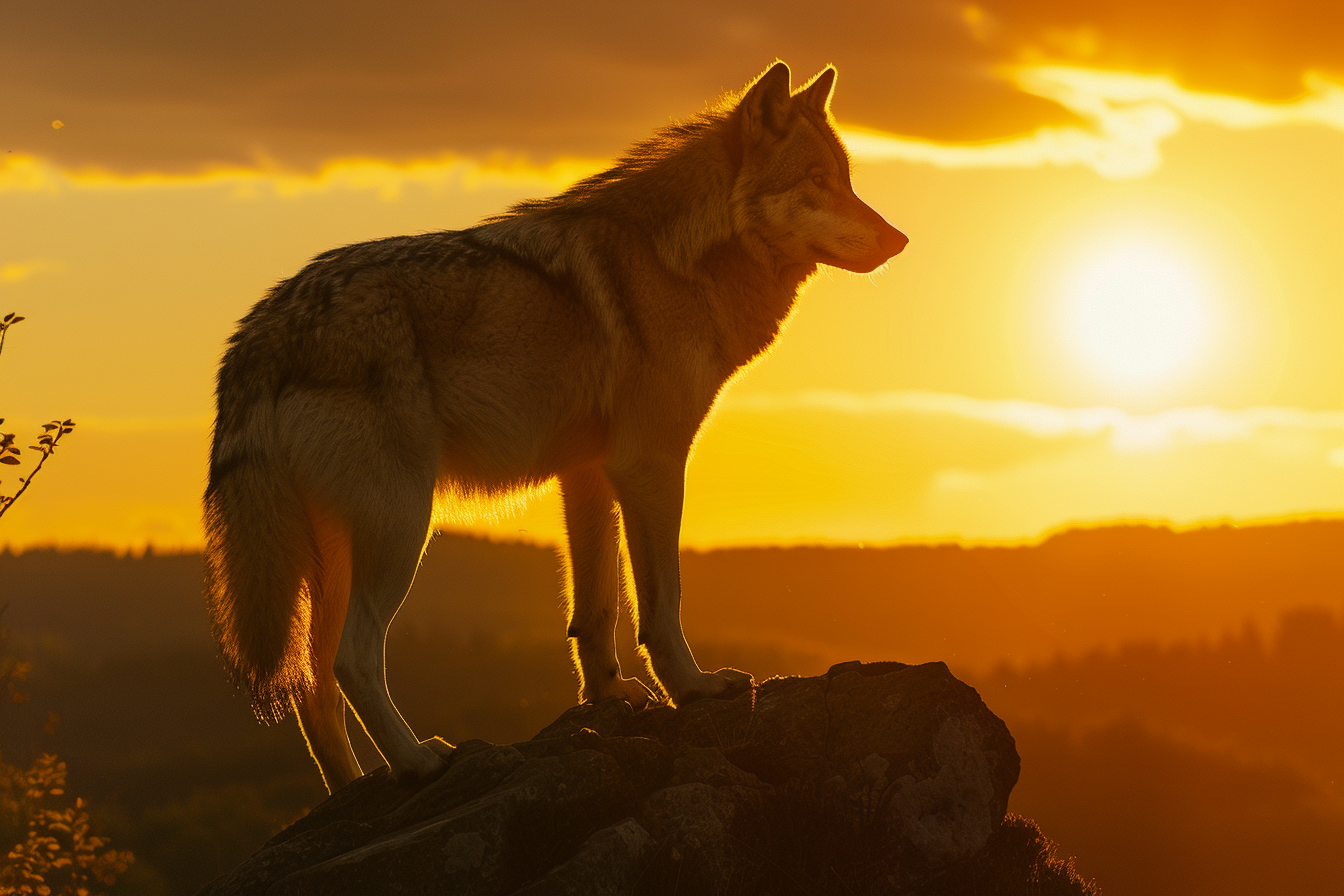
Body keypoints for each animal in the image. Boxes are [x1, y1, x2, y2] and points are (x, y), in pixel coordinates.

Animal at [204, 61, 907, 792]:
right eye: (816, 181)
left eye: (847, 181)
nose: (900, 239)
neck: (677, 257)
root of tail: (256, 338)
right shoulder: (650, 464)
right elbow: (662, 603)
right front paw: (693, 688)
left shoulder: (589, 472)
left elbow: (595, 612)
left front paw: (610, 697)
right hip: (400, 526)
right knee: (353, 660)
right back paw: (420, 759)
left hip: (332, 558)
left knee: (311, 687)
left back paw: (355, 790)